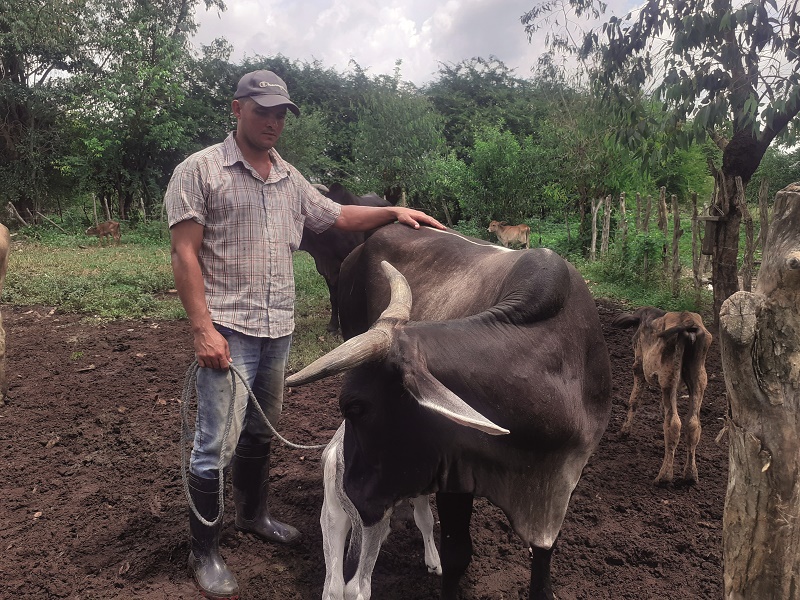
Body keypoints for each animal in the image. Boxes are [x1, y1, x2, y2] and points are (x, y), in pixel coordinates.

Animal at [612, 308, 712, 486]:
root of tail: (688, 323)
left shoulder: (639, 368)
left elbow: (633, 401)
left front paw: (624, 431)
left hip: (668, 378)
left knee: (674, 423)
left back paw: (664, 477)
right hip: (698, 380)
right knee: (692, 424)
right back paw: (690, 475)